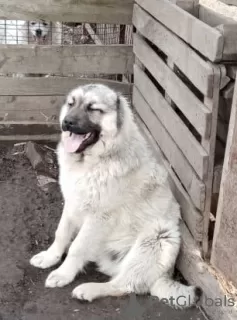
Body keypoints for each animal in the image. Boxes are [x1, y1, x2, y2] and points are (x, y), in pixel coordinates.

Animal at [29, 84, 200, 308]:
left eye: (93, 108)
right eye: (71, 104)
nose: (67, 122)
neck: (95, 161)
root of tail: (163, 277)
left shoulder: (98, 217)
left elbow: (76, 247)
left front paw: (63, 273)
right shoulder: (72, 203)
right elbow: (62, 233)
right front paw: (51, 257)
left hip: (160, 235)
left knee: (124, 285)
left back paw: (88, 289)